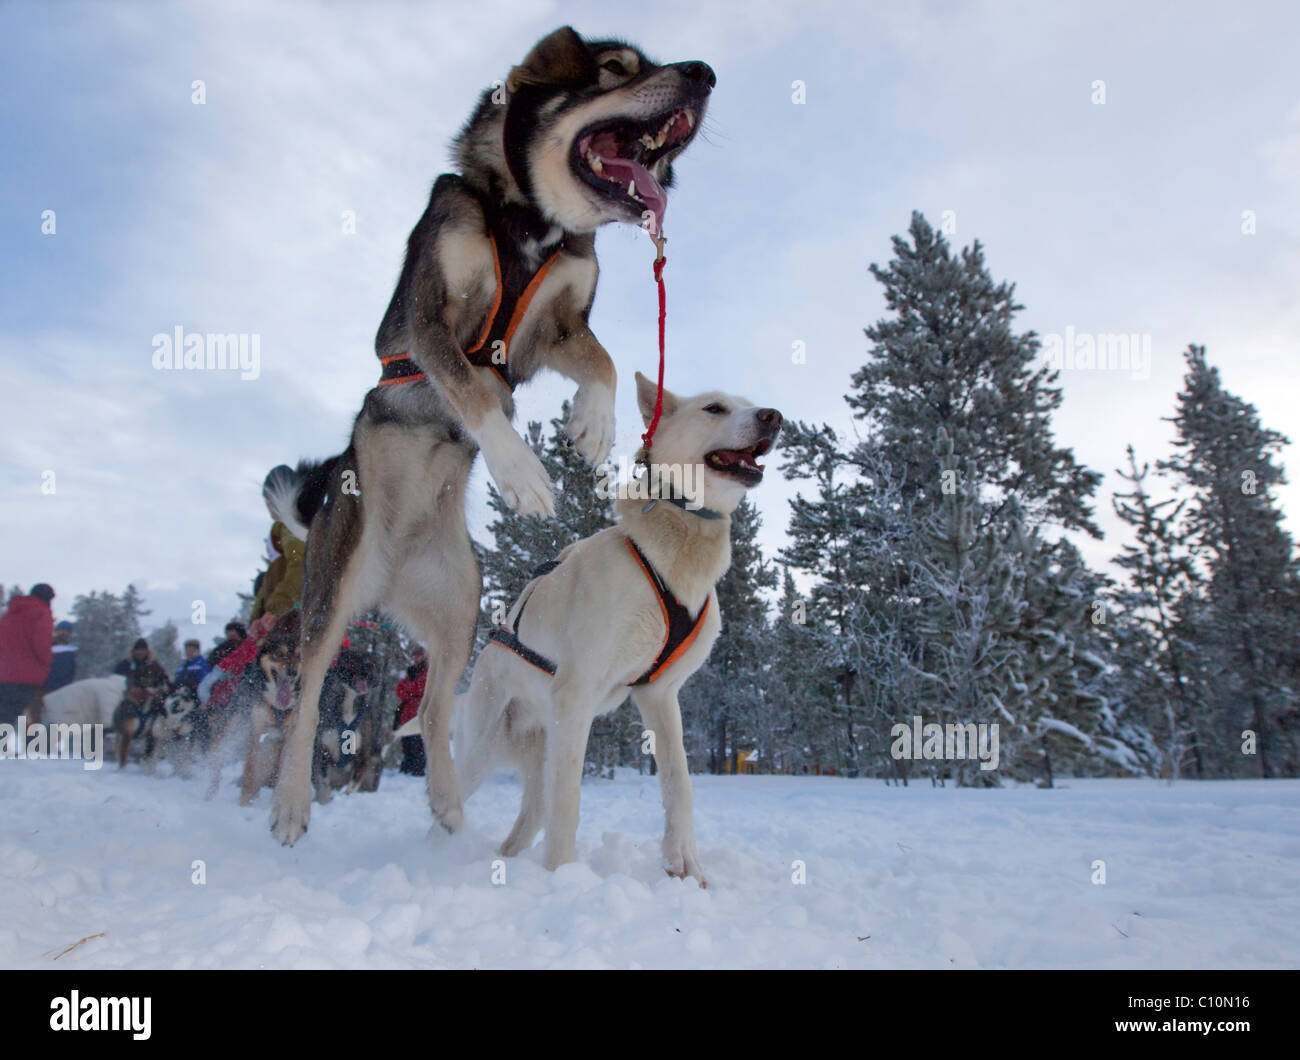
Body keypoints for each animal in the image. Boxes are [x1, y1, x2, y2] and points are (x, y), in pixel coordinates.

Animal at [260, 28, 717, 848]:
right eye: (615, 69)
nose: (703, 75)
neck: (527, 226)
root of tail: (389, 575)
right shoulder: (430, 319)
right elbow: (473, 390)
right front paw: (522, 470)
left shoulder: (556, 328)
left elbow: (601, 359)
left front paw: (593, 424)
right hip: (334, 588)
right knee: (309, 693)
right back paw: (289, 803)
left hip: (458, 612)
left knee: (437, 705)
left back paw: (445, 798)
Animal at [454, 374, 780, 889]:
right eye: (714, 408)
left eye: (749, 405)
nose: (774, 416)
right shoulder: (577, 691)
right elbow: (569, 804)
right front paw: (565, 879)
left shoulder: (659, 694)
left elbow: (679, 784)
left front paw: (686, 867)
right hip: (484, 749)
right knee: (453, 803)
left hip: (540, 757)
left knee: (527, 820)